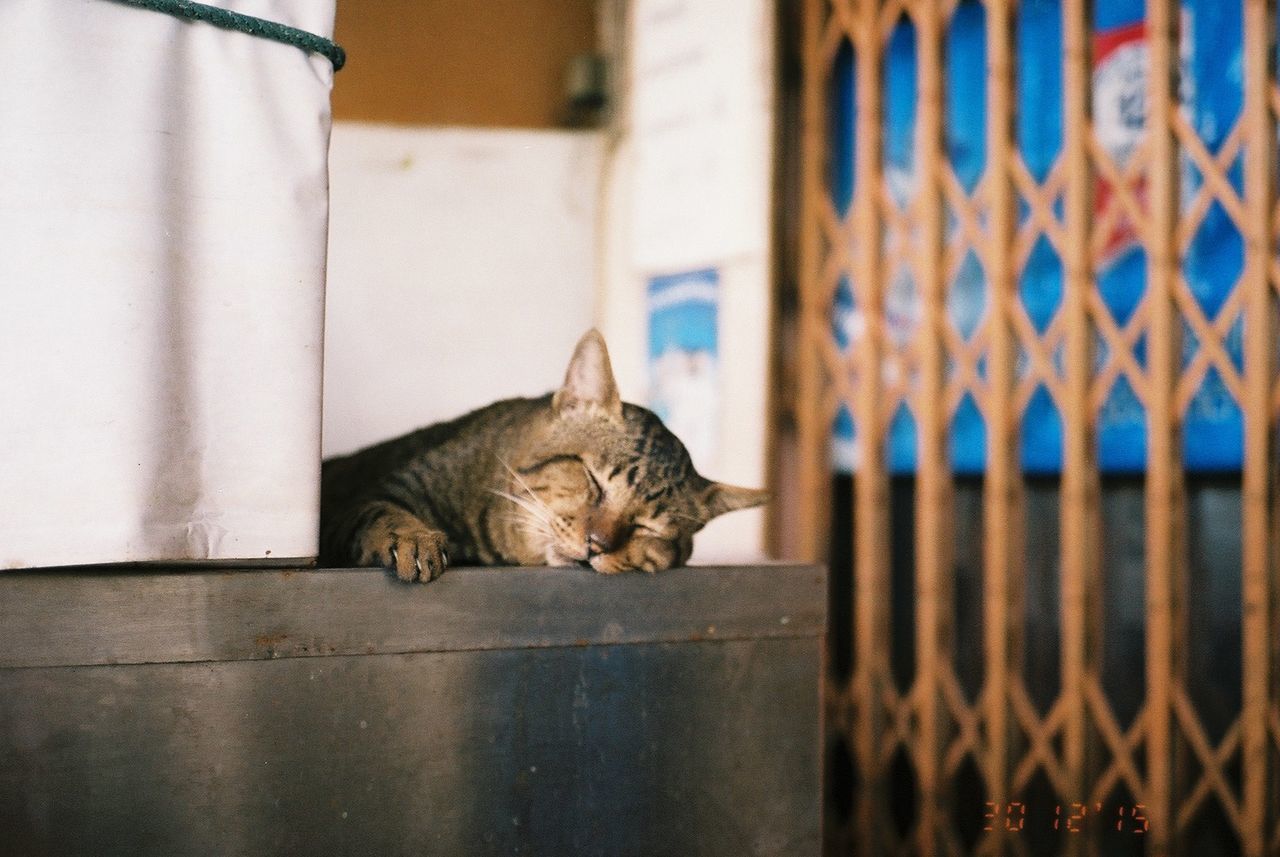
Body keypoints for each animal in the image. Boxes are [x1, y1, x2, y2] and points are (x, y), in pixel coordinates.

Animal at [318, 330, 762, 583]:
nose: (598, 545)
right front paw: (414, 537)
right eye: (594, 481)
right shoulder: (374, 493)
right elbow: (382, 513)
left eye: (647, 527)